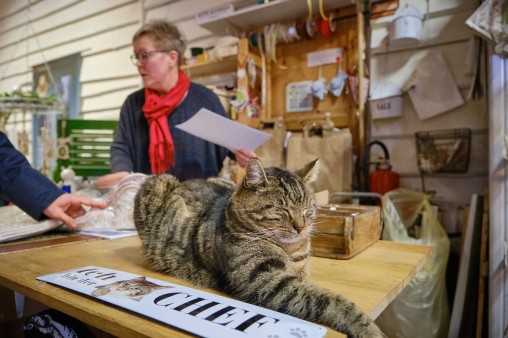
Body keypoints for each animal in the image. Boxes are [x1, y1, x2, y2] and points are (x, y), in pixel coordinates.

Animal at [133, 158, 386, 338]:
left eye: (307, 209)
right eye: (282, 210)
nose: (301, 227)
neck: (292, 251)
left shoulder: (298, 272)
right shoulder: (266, 280)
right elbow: (330, 300)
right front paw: (368, 328)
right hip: (154, 182)